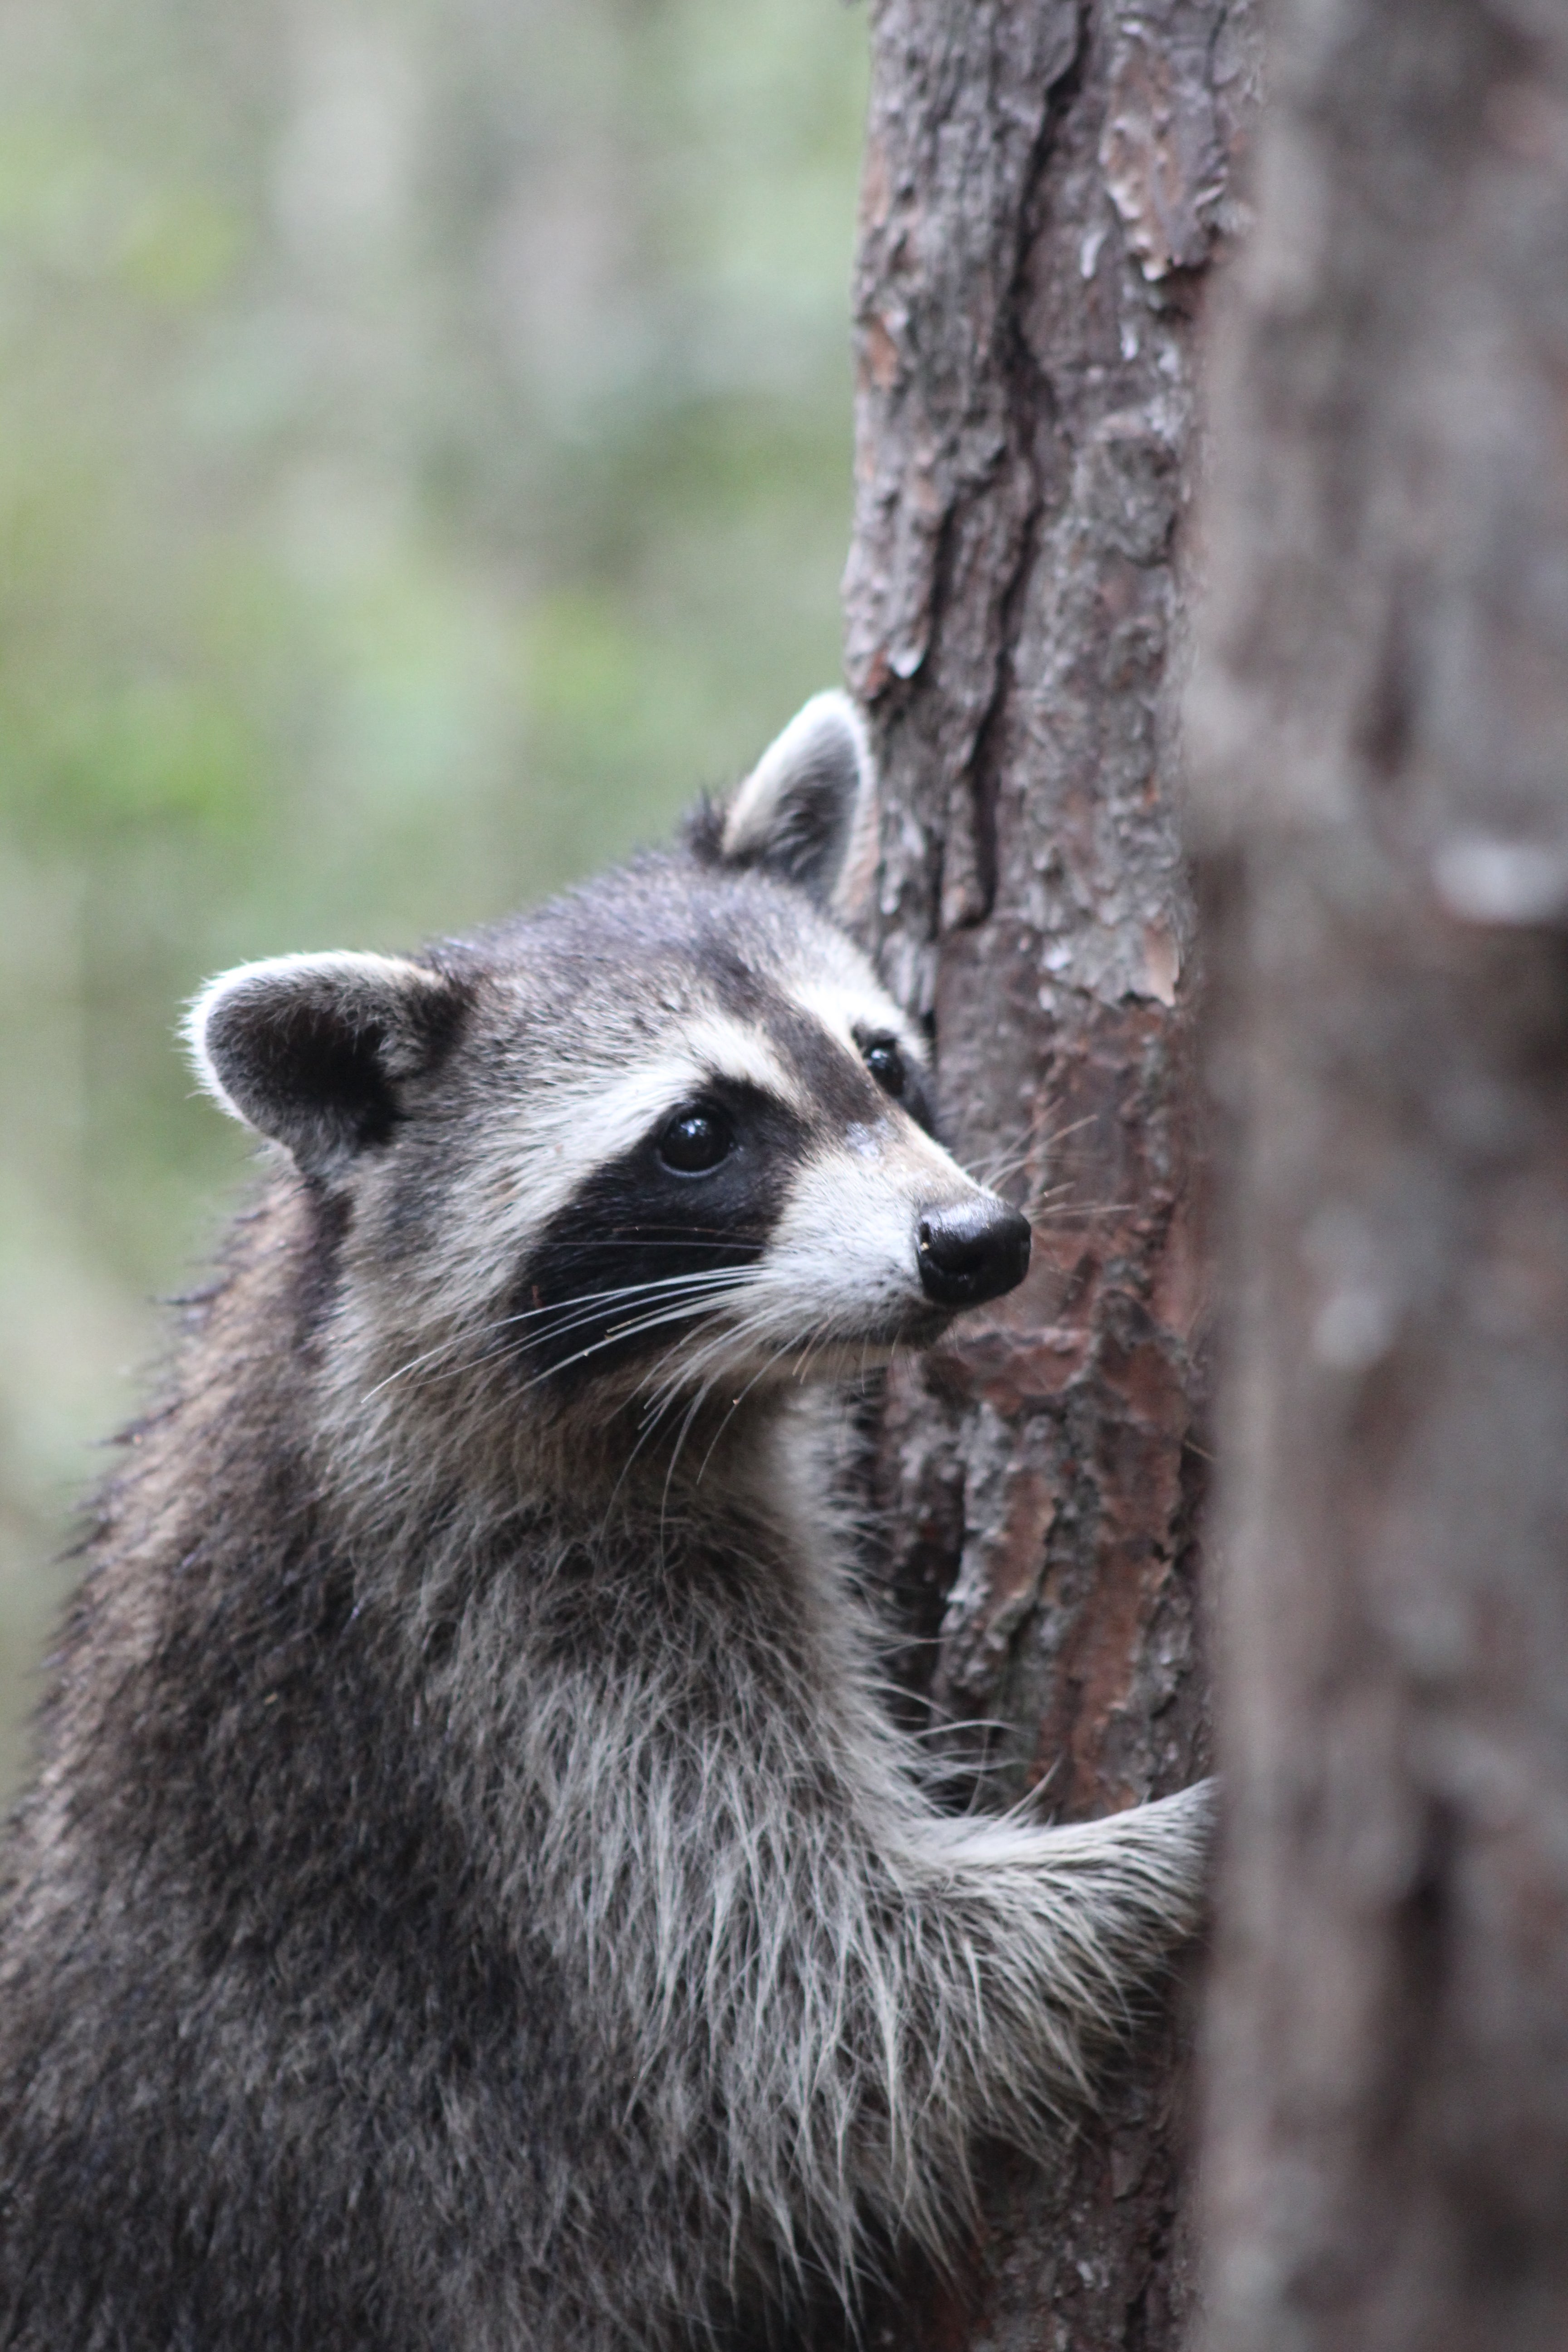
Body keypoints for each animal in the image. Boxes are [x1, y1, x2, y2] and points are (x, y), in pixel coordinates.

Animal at [0, 691, 1213, 2352]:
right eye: (698, 1135)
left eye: (882, 1059)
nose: (976, 1244)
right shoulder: (512, 1676)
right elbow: (810, 2006)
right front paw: (1196, 1838)